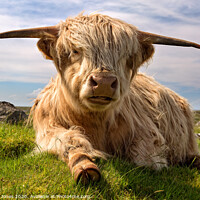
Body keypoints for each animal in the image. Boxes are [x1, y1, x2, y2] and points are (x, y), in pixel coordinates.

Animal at [0, 12, 200, 184]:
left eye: (126, 56)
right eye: (75, 51)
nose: (103, 82)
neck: (95, 124)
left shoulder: (146, 131)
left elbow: (147, 160)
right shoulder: (47, 129)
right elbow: (68, 140)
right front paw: (84, 165)